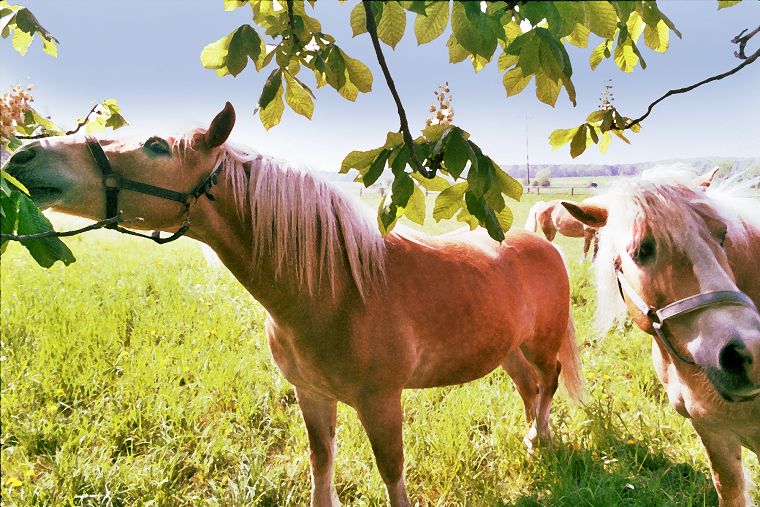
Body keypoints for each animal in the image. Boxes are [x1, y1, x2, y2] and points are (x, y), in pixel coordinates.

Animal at [2, 104, 584, 507]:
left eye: (155, 145)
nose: (23, 157)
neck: (337, 291)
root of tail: (539, 240)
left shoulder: (381, 402)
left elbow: (391, 472)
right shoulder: (311, 395)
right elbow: (321, 462)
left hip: (541, 343)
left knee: (549, 381)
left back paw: (540, 436)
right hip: (505, 348)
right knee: (529, 388)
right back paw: (534, 441)